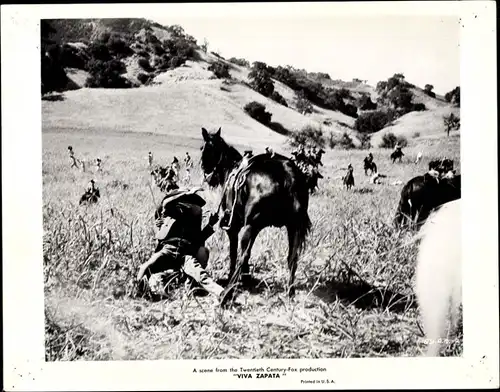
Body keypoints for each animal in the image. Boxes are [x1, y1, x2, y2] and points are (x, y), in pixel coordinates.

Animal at [200, 127, 310, 298]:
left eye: (203, 148)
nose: (205, 172)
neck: (230, 168)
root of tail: (289, 176)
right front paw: (245, 278)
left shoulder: (233, 227)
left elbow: (234, 253)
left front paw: (234, 277)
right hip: (293, 227)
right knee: (293, 257)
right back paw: (290, 292)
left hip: (251, 226)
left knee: (244, 254)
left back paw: (228, 290)